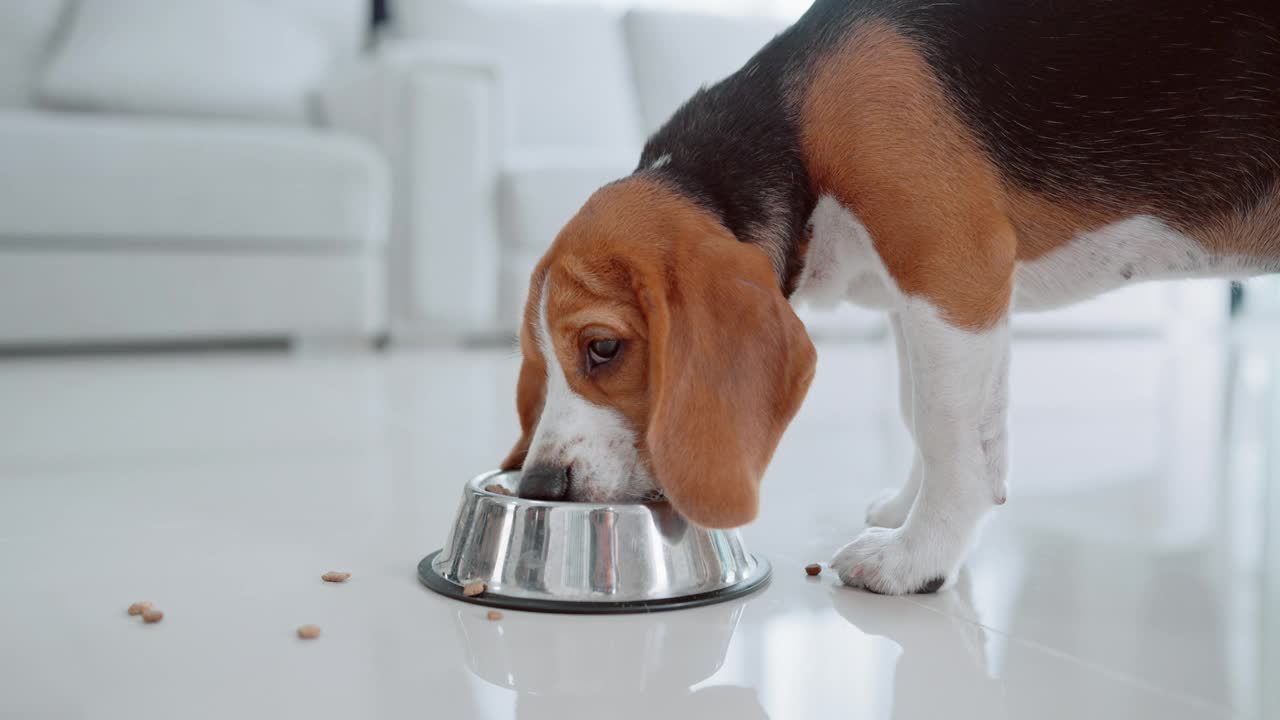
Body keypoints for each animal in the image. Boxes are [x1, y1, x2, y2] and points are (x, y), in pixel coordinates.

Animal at [499, 1, 1280, 594]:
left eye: (604, 348)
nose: (539, 485)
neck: (797, 123)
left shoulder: (954, 269)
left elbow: (939, 424)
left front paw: (917, 556)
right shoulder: (936, 295)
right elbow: (941, 415)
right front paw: (918, 507)